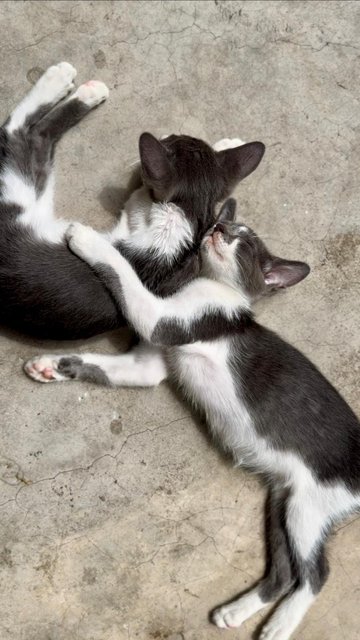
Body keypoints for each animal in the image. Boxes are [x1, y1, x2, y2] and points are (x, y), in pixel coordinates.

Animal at [26, 200, 358, 640]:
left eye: (245, 241)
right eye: (225, 224)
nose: (219, 228)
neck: (214, 286)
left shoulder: (167, 322)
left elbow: (125, 274)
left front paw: (87, 239)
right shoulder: (148, 364)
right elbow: (106, 364)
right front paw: (51, 365)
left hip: (311, 505)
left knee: (316, 574)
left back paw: (280, 625)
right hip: (283, 498)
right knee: (286, 572)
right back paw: (236, 612)